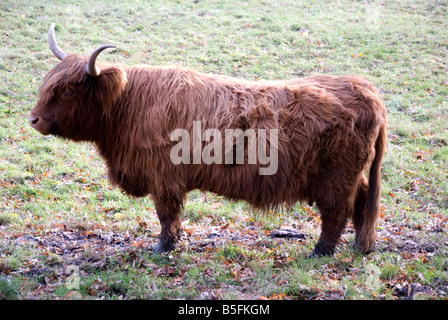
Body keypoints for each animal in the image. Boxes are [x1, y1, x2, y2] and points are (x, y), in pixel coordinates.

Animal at [28, 23, 384, 256]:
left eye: (67, 90)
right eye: (48, 83)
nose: (34, 119)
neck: (128, 105)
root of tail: (364, 89)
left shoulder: (164, 178)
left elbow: (166, 214)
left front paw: (164, 247)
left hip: (336, 178)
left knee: (337, 212)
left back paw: (320, 252)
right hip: (349, 176)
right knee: (362, 202)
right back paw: (359, 246)